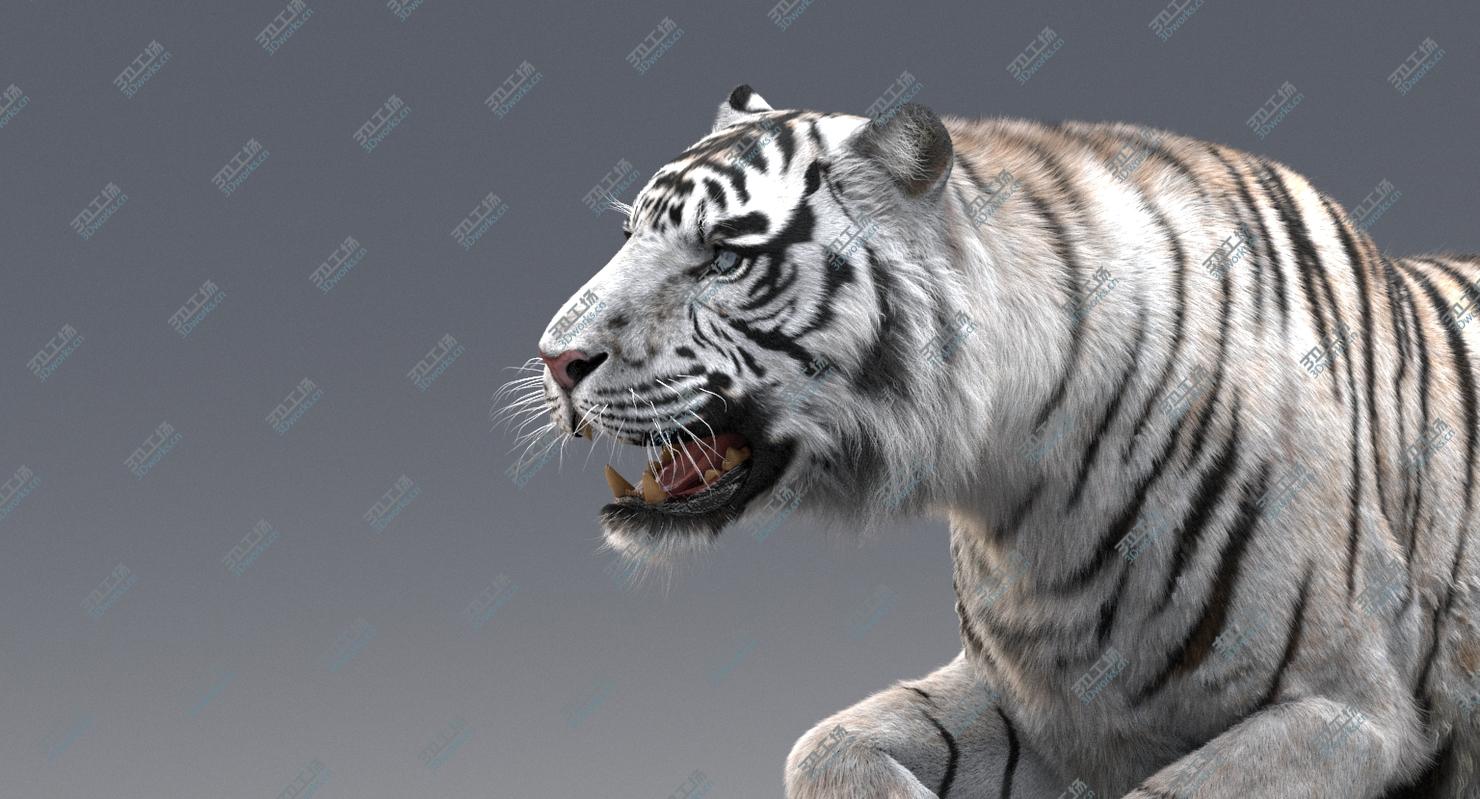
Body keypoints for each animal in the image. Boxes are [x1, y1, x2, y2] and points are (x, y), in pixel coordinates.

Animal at [510, 84, 1480, 797]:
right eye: (628, 235)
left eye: (722, 258)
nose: (556, 358)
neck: (1026, 497)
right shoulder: (1036, 698)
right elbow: (825, 747)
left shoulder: (1349, 706)